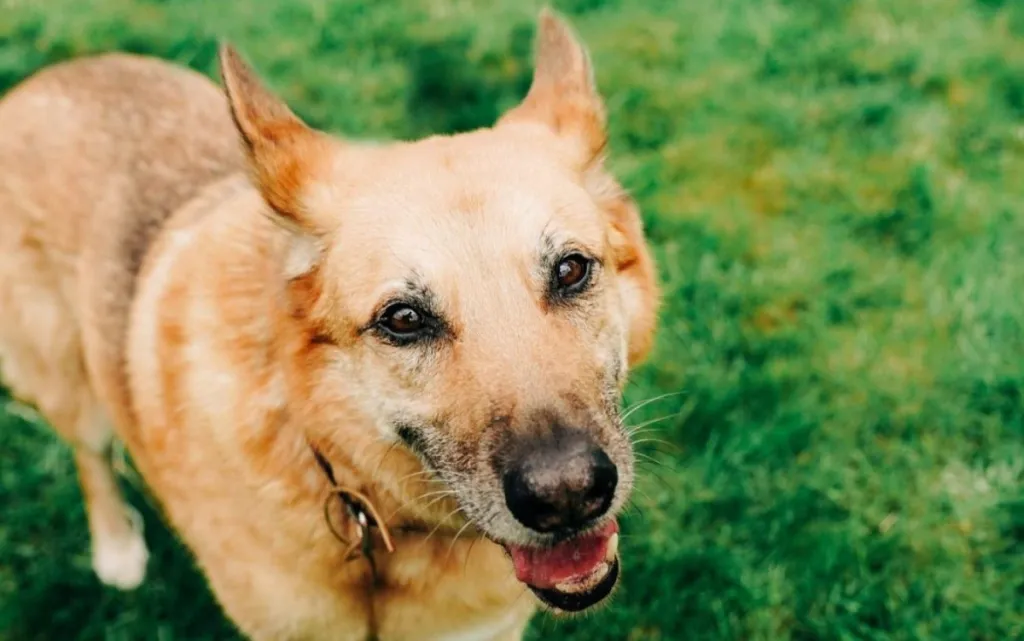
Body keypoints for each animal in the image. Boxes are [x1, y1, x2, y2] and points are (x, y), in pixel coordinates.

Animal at [0, 9, 655, 638]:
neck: (362, 503)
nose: (568, 495)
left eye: (570, 270)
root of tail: (55, 75)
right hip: (69, 387)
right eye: (404, 319)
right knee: (90, 458)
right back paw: (117, 549)